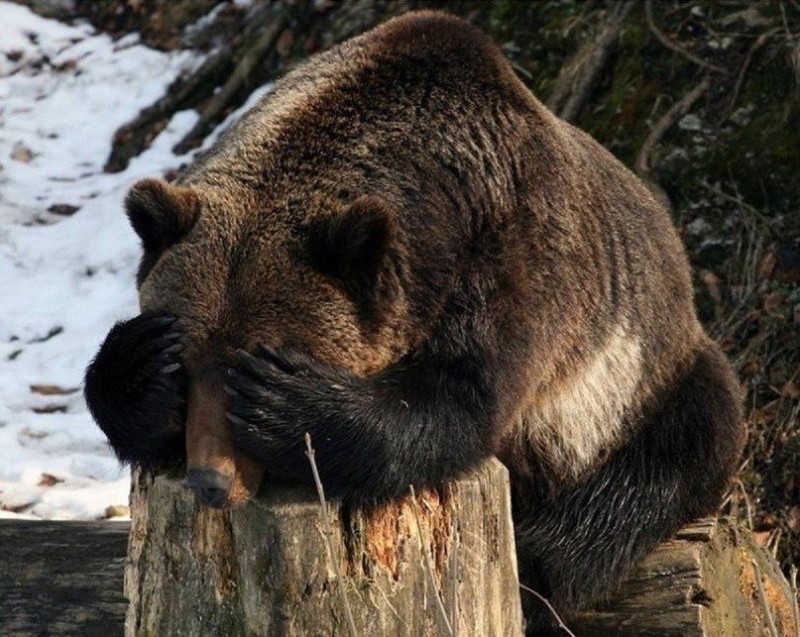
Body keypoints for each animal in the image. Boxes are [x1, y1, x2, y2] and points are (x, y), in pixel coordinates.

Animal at [84, 9, 748, 632]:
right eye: (188, 368)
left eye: (254, 358)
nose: (210, 480)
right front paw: (139, 363)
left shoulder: (511, 261)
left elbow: (458, 403)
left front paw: (287, 404)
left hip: (640, 383)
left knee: (648, 473)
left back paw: (538, 571)